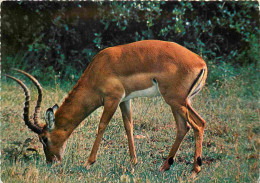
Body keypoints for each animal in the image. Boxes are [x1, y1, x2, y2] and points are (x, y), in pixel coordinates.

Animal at [6, 39, 207, 174]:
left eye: (44, 139)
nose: (51, 161)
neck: (99, 68)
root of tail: (200, 62)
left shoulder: (112, 99)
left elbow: (101, 126)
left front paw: (88, 162)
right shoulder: (125, 100)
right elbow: (128, 127)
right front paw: (133, 163)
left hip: (176, 101)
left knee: (199, 124)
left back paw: (195, 169)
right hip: (178, 103)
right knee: (183, 127)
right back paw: (164, 166)